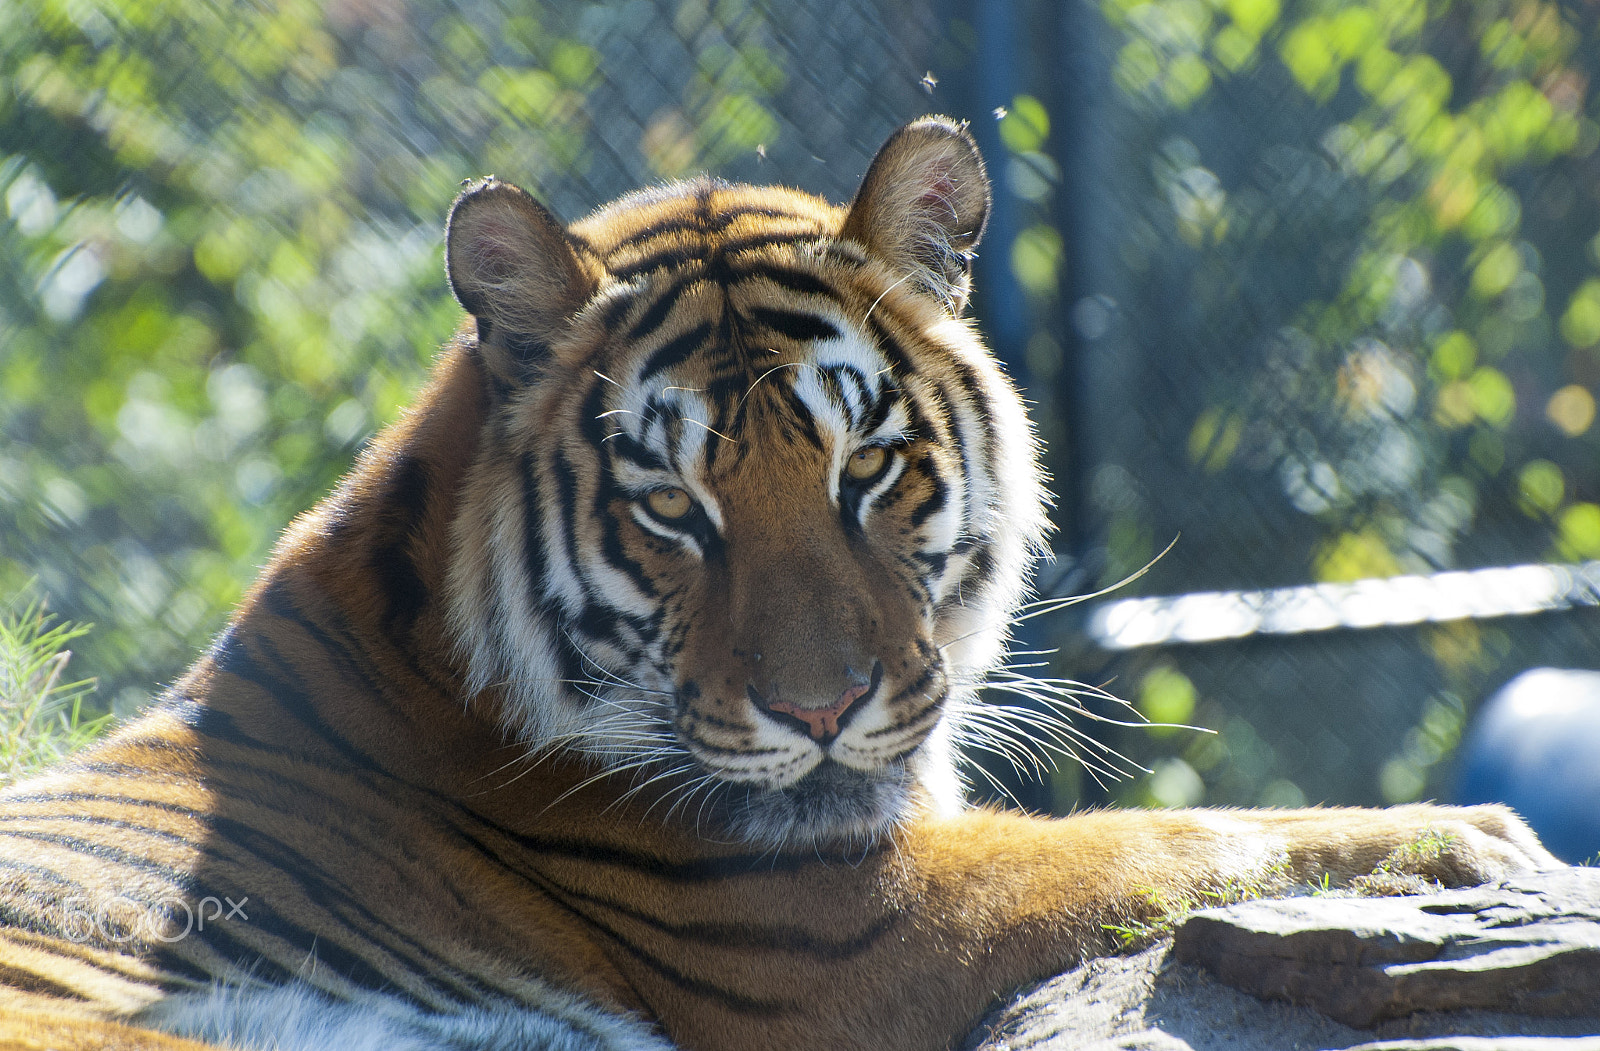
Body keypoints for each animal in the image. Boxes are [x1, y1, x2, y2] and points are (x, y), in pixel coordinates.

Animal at [0, 116, 1557, 1051]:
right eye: (670, 507)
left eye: (865, 466)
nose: (821, 712)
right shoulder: (845, 929)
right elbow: (1173, 839)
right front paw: (1479, 840)